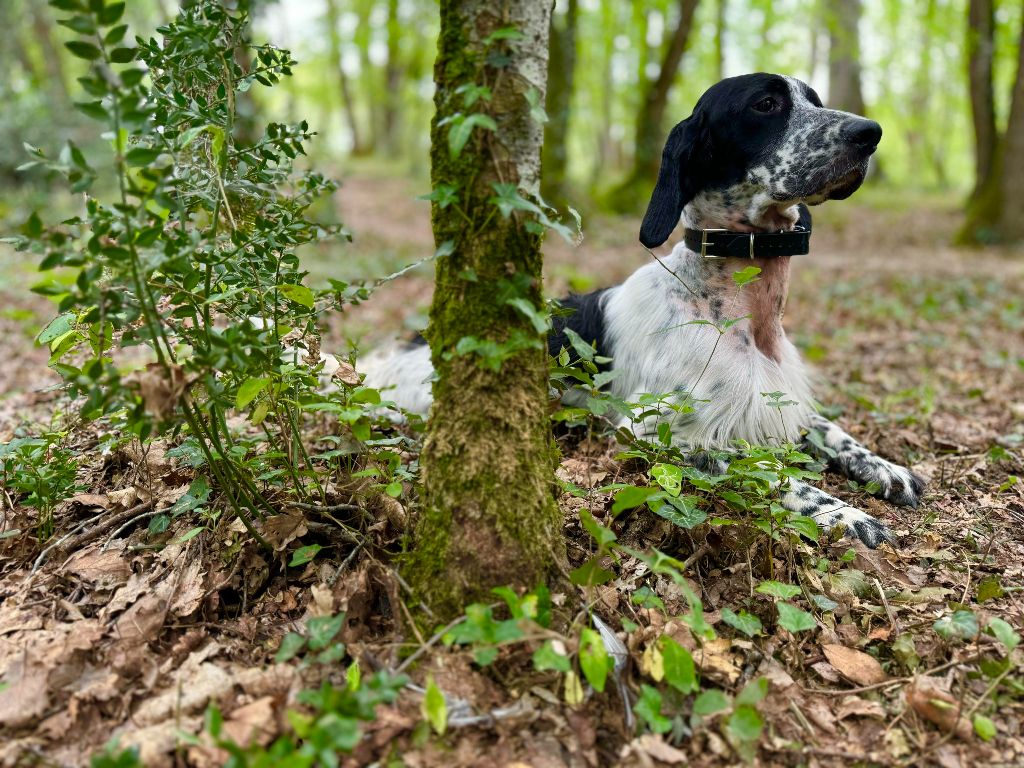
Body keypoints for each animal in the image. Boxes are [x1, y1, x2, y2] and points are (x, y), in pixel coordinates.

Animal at [362, 73, 929, 548]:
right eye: (765, 105)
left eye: (814, 99)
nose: (870, 132)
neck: (734, 309)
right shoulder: (658, 432)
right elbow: (764, 466)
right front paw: (842, 512)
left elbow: (830, 429)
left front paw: (883, 466)